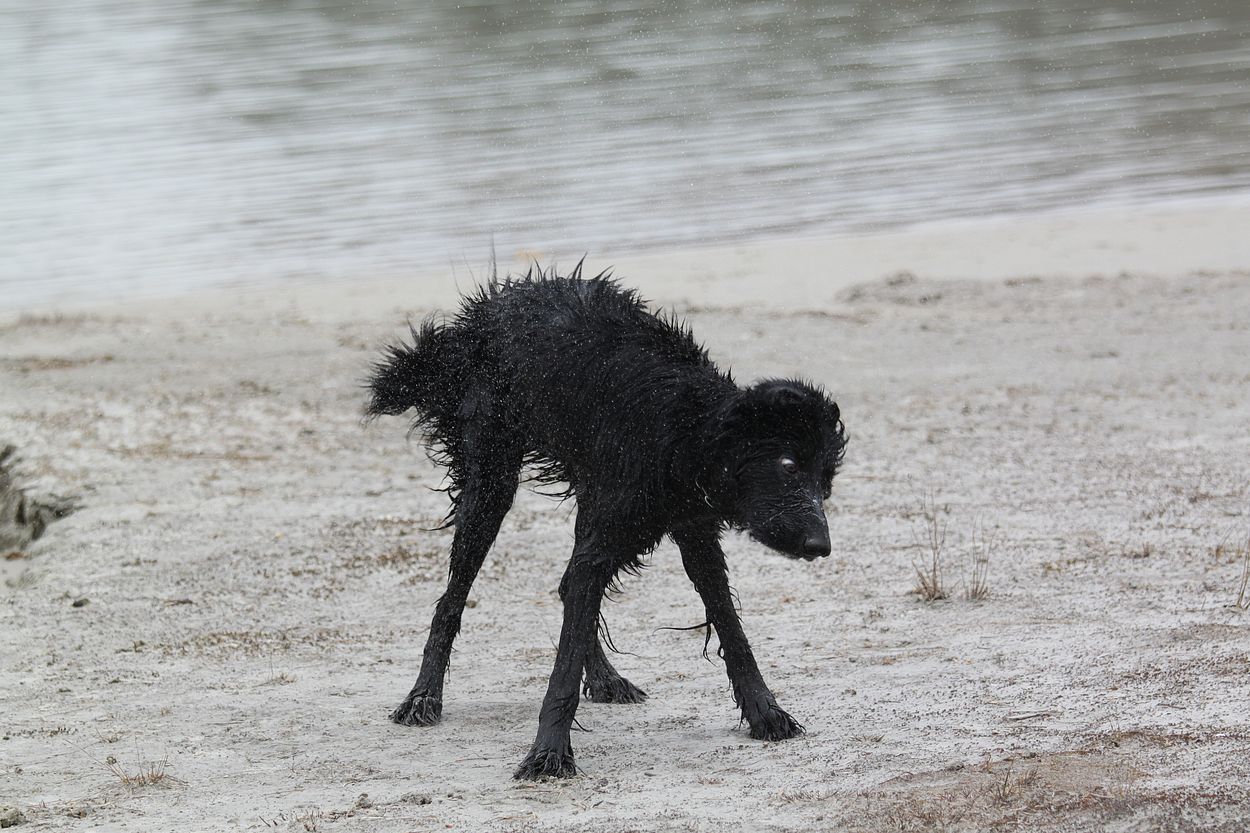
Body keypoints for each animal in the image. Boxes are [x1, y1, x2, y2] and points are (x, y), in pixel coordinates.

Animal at [366, 263, 846, 779]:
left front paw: (765, 713)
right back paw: (423, 696)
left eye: (826, 481)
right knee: (452, 601)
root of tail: (482, 315)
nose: (821, 546)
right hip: (491, 485)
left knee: (568, 586)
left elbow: (731, 631)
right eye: (788, 466)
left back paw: (604, 677)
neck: (681, 430)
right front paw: (548, 753)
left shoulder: (696, 536)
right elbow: (562, 668)